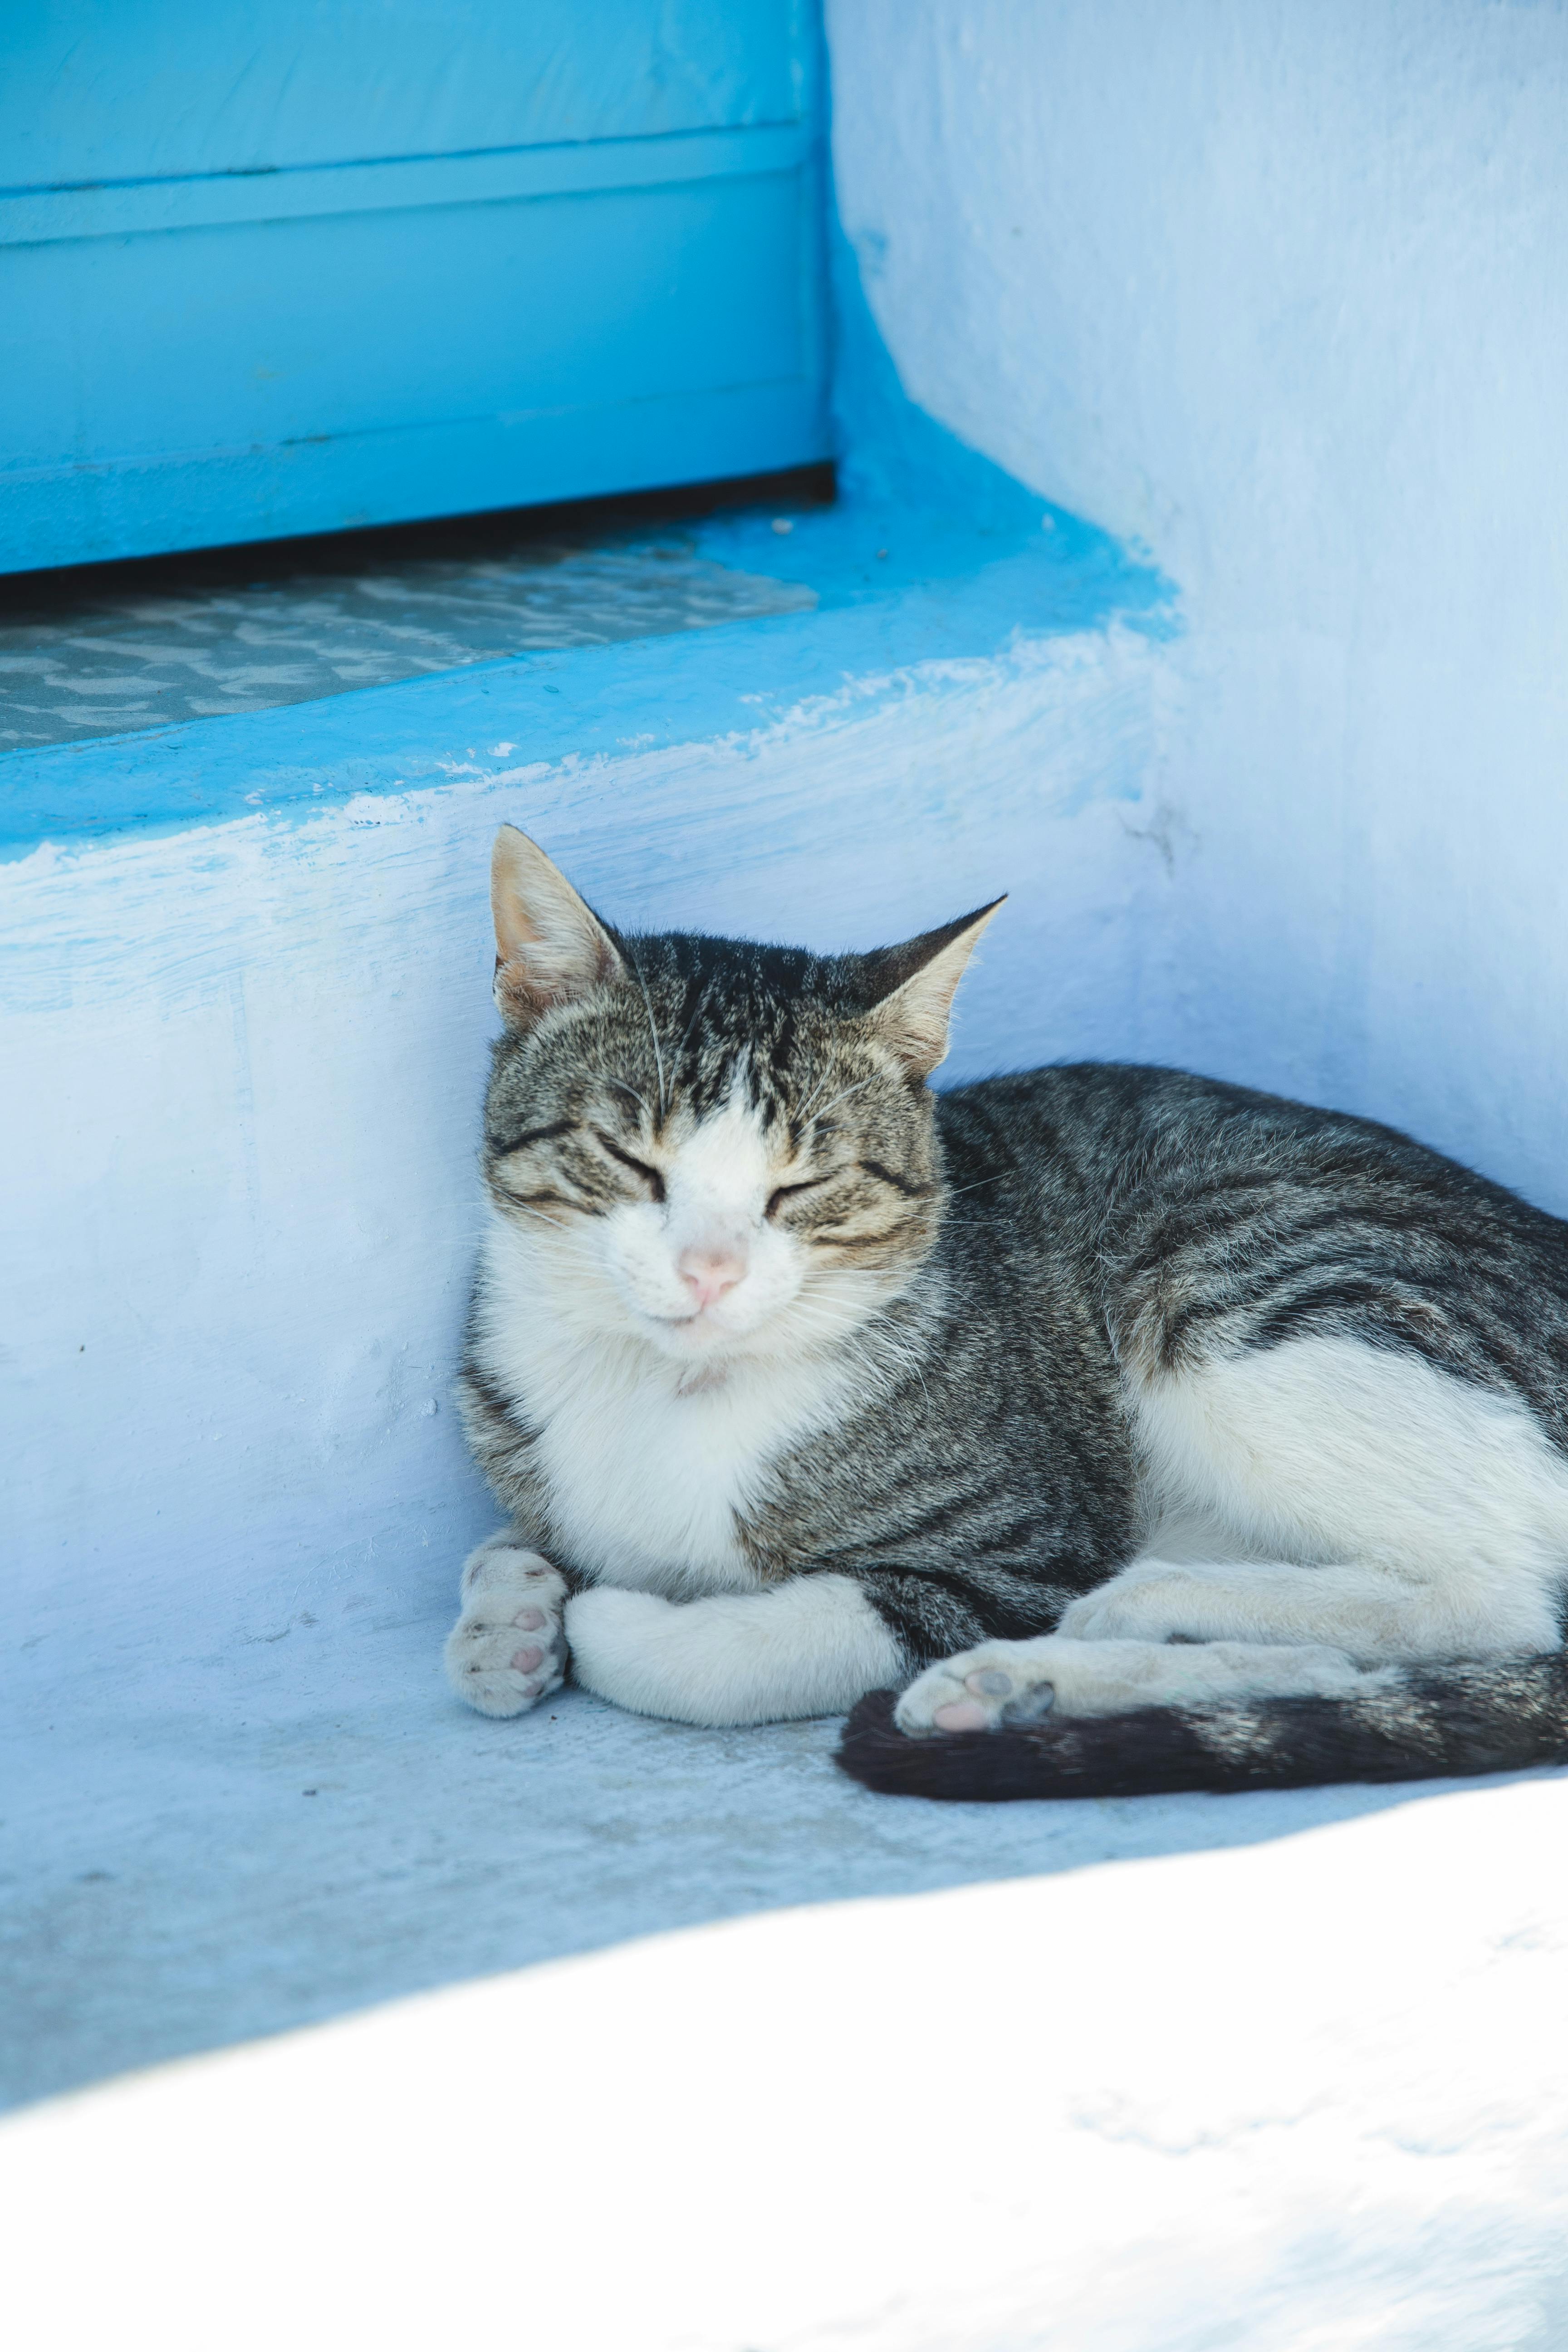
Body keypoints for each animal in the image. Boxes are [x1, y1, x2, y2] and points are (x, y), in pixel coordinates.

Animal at [444, 833, 1568, 1797]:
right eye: (631, 1161)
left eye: (803, 1187)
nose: (709, 1271)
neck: (658, 1387)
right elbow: (514, 1541)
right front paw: (509, 1614)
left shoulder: (1022, 1551)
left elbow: (761, 1647)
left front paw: (604, 1624)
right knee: (1346, 1669)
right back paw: (1039, 1688)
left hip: (1232, 1285)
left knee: (1504, 1604)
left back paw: (1138, 1613)